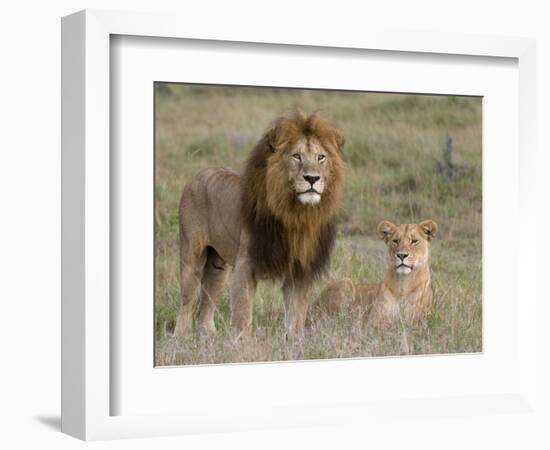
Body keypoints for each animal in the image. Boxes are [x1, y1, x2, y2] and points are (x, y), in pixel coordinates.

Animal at [175, 112, 344, 338]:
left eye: (321, 157)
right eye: (296, 156)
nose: (312, 178)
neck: (297, 214)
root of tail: (199, 173)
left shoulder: (299, 270)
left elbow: (296, 317)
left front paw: (294, 341)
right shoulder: (246, 265)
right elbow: (243, 315)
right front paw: (243, 343)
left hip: (218, 265)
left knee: (207, 302)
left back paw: (208, 337)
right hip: (191, 256)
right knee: (188, 301)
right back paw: (180, 338)